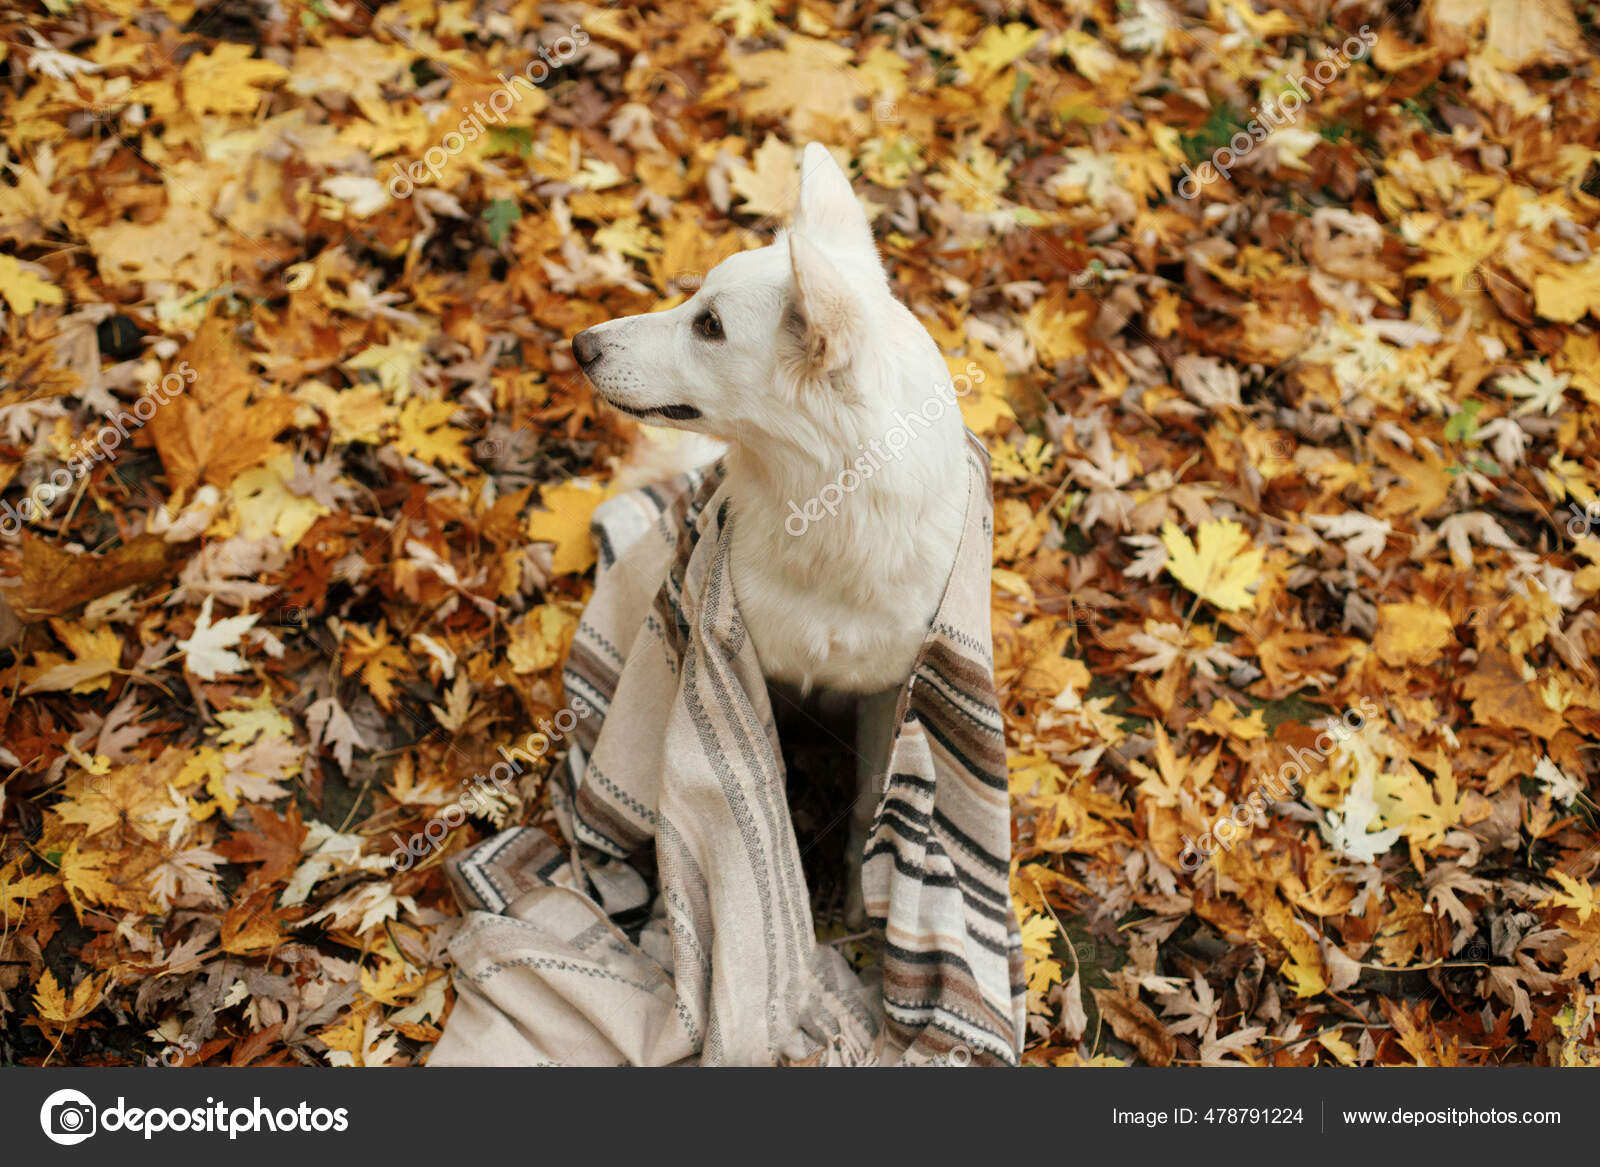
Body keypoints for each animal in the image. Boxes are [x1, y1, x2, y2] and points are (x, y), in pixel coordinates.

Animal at [579, 143, 972, 922]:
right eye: (694, 302)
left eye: (709, 326)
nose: (581, 345)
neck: (826, 510)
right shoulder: (750, 669)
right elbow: (764, 795)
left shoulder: (891, 687)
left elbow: (870, 802)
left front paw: (857, 902)